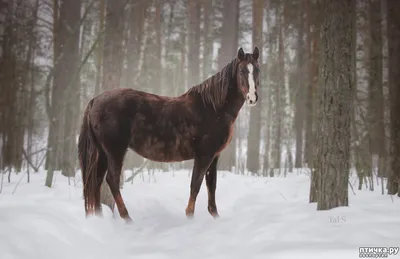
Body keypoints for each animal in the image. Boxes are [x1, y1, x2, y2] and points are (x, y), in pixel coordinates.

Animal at [77, 47, 260, 223]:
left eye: (257, 70)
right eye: (242, 71)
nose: (252, 98)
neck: (213, 108)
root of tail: (95, 100)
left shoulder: (214, 156)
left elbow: (211, 184)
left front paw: (214, 215)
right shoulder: (204, 155)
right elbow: (196, 184)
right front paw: (189, 216)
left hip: (102, 152)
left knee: (97, 180)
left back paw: (100, 218)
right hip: (115, 151)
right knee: (112, 180)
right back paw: (127, 218)